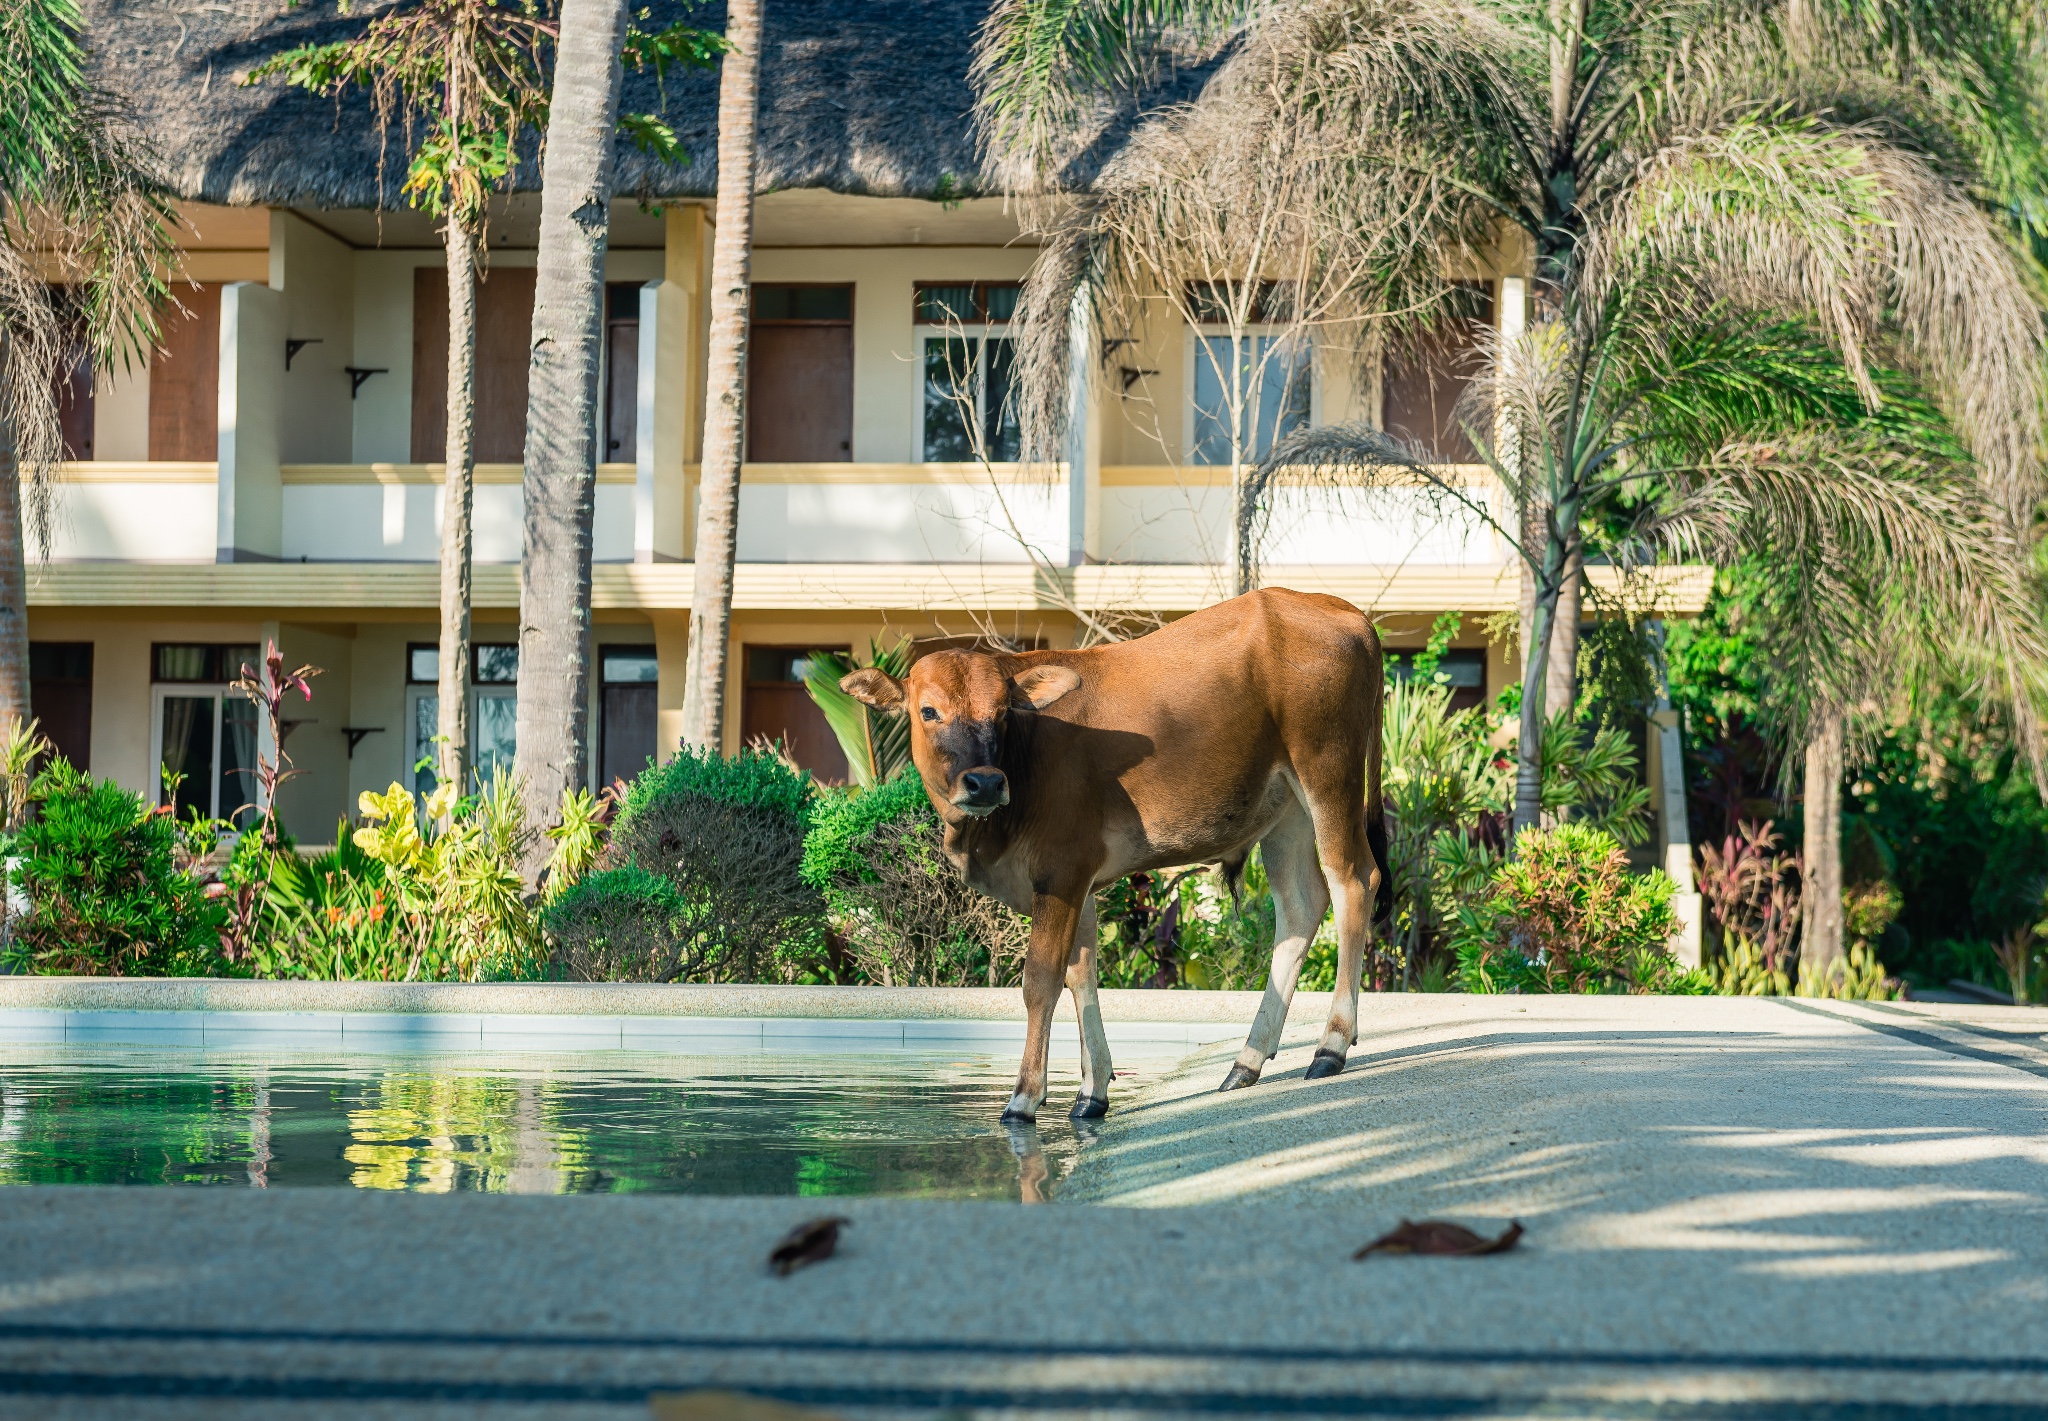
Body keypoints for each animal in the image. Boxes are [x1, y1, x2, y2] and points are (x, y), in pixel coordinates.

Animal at [839, 585, 1384, 1122]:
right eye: (928, 711)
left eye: (1002, 712)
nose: (987, 782)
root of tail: (1343, 610)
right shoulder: (1077, 883)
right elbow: (1082, 976)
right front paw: (1091, 1091)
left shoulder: (1061, 870)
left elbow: (1041, 980)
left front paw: (1025, 1096)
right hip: (1286, 810)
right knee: (1299, 908)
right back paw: (1246, 1062)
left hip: (1328, 772)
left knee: (1353, 881)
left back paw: (1330, 1046)